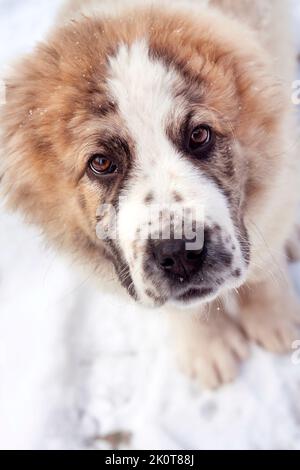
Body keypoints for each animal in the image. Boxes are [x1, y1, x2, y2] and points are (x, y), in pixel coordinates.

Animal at [0, 0, 300, 388]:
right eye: (101, 162)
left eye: (199, 135)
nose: (180, 253)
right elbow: (185, 310)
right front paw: (207, 348)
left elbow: (263, 267)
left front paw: (275, 320)